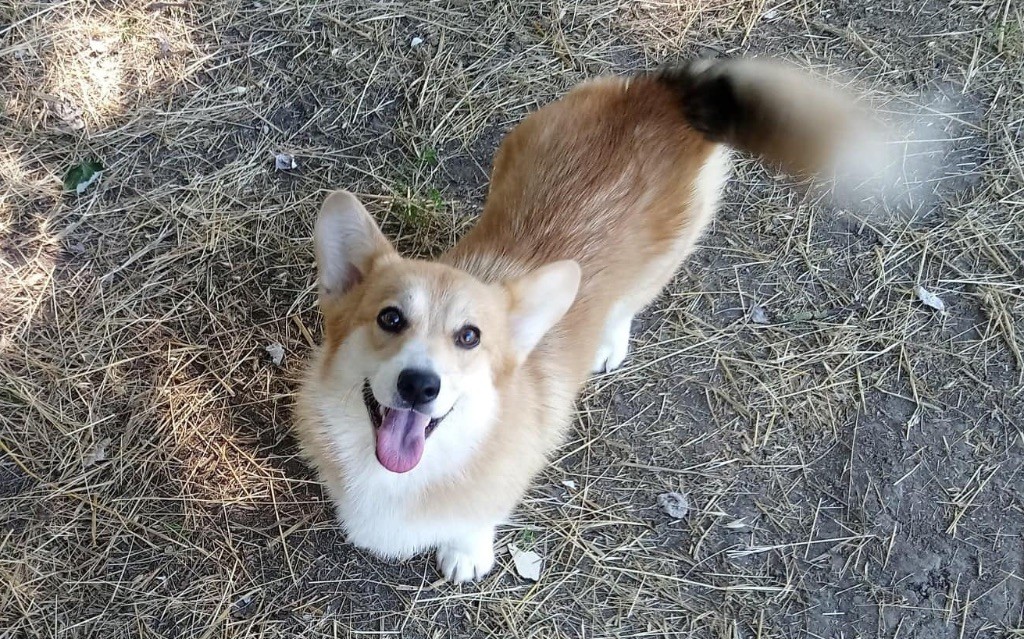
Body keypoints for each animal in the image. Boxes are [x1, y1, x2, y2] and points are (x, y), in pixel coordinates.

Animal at [294, 57, 880, 583]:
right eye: (390, 318)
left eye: (470, 337)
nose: (420, 385)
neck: (404, 473)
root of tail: (665, 95)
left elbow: (478, 522)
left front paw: (466, 553)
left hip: (662, 263)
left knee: (626, 306)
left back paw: (608, 345)